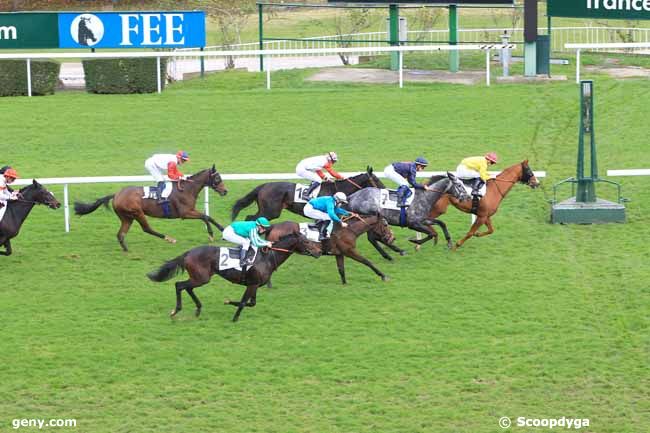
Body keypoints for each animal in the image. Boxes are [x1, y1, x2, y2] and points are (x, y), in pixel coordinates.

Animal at [74, 166, 228, 253]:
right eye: (218, 178)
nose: (225, 191)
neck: (187, 189)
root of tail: (116, 194)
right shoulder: (185, 213)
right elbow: (205, 217)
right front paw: (211, 234)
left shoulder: (189, 211)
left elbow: (208, 217)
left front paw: (222, 230)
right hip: (137, 212)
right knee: (147, 229)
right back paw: (169, 239)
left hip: (127, 217)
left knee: (120, 234)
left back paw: (126, 250)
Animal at [146, 233, 320, 320]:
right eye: (306, 241)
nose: (319, 251)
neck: (267, 258)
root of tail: (188, 252)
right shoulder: (252, 284)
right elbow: (243, 303)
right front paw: (233, 315)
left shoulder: (255, 285)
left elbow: (252, 303)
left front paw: (229, 303)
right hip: (201, 278)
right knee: (179, 285)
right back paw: (176, 311)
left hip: (200, 278)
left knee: (186, 288)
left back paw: (198, 309)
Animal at [230, 167, 382, 221]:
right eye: (376, 179)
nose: (384, 188)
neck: (335, 190)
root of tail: (263, 186)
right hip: (271, 211)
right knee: (252, 218)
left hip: (265, 209)